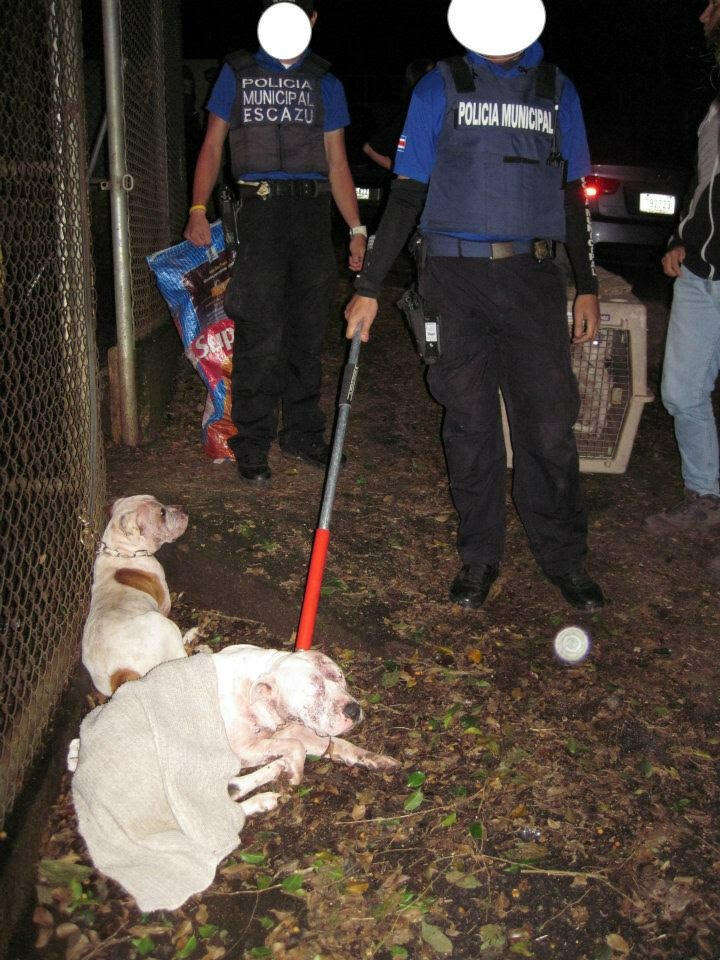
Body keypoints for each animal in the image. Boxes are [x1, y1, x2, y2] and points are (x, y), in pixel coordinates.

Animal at [83, 496, 191, 696]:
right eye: (161, 513)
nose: (184, 508)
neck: (122, 551)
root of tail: (121, 673)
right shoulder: (164, 602)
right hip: (163, 625)